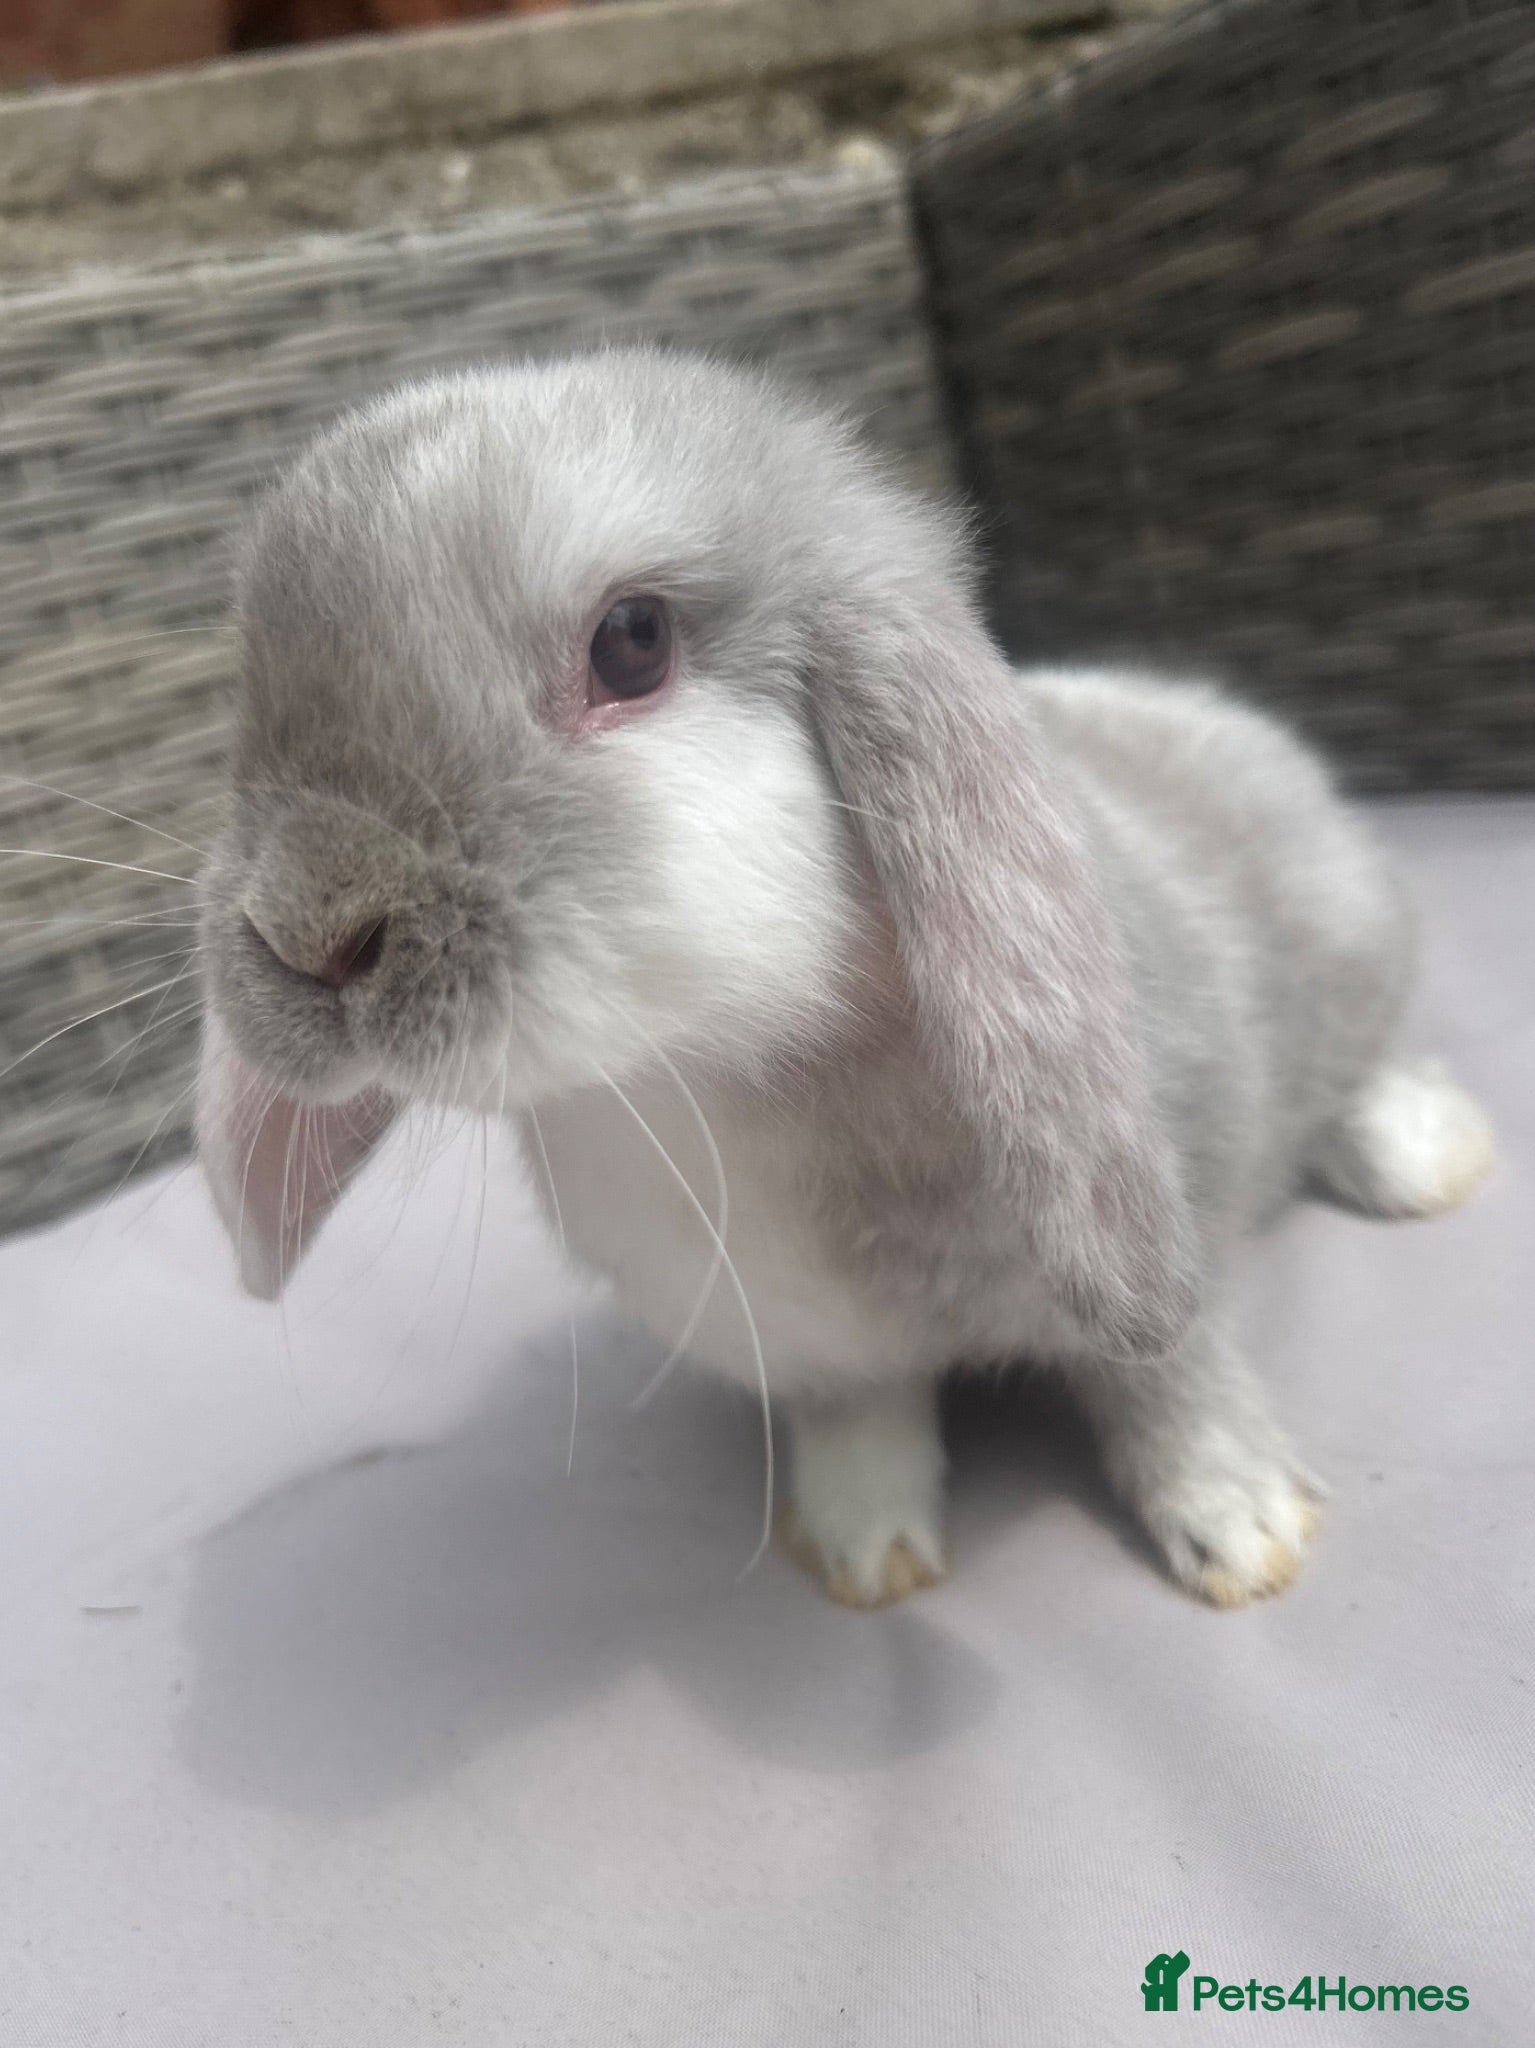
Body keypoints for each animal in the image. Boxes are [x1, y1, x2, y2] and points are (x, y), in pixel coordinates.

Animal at [195, 347, 1496, 1610]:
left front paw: (1244, 1531)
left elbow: (1173, 1376)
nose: (305, 930)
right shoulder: (810, 1350)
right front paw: (862, 1553)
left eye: (632, 640)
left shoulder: (1176, 1231)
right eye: (249, 690)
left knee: (1357, 1070)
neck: (703, 1074)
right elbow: (862, 1419)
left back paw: (1425, 1155)